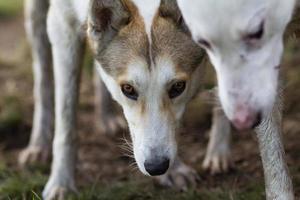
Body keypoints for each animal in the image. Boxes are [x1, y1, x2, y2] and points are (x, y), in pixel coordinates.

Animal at [19, 0, 234, 199]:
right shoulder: (62, 24)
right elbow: (66, 124)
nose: (156, 167)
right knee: (42, 78)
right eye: (128, 89)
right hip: (38, 20)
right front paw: (61, 184)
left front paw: (214, 153)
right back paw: (38, 146)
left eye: (178, 87)